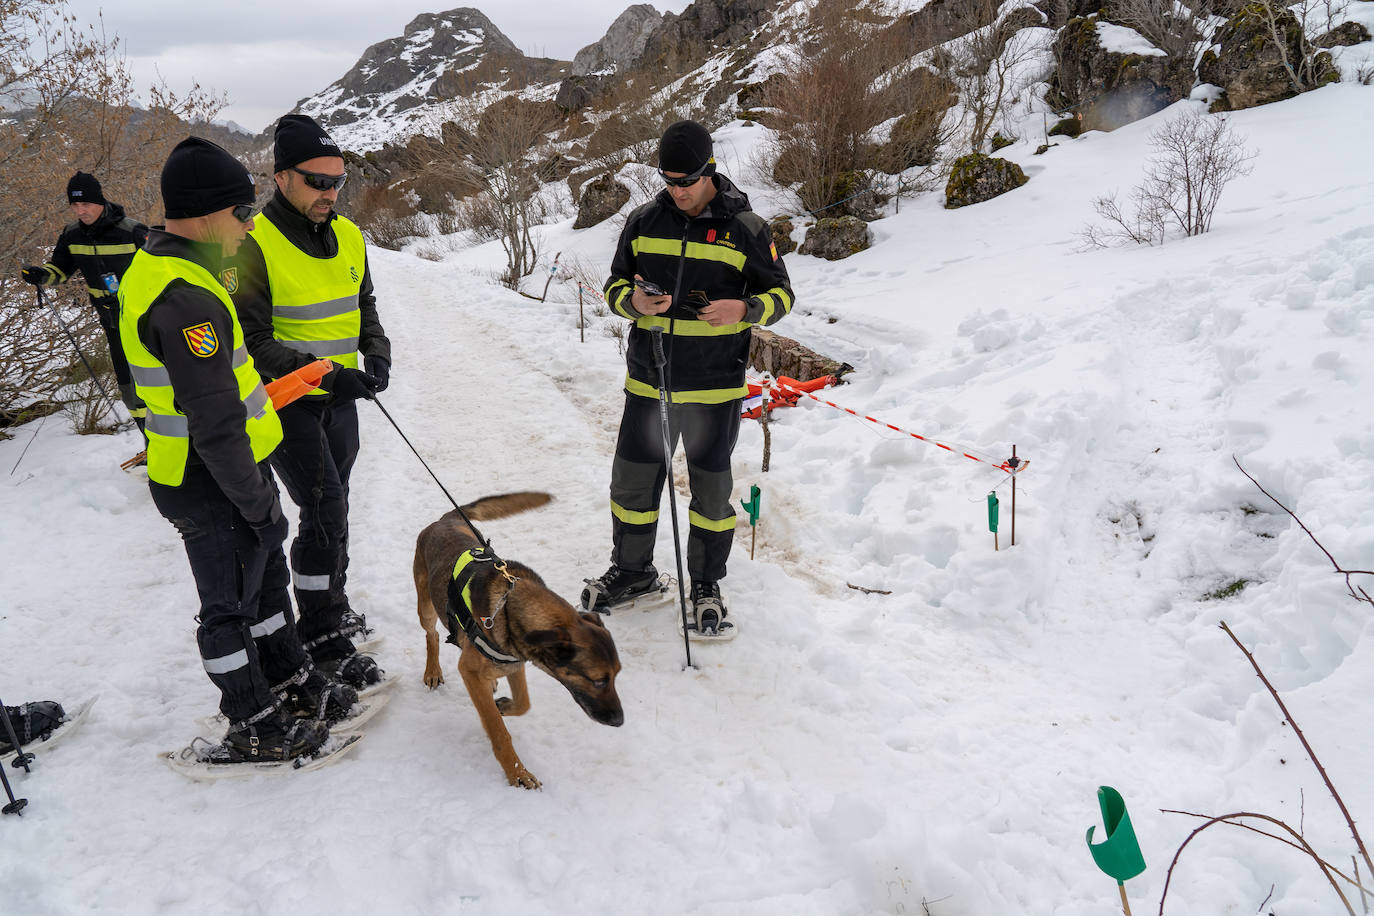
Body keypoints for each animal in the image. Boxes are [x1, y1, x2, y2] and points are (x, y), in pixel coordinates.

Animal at [409, 494, 621, 791]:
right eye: (599, 681)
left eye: (617, 675)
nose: (620, 721)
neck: (510, 605)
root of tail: (444, 520)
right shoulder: (471, 670)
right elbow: (498, 730)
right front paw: (517, 773)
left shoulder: (515, 662)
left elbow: (523, 704)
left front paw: (504, 705)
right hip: (426, 607)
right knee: (433, 635)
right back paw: (432, 671)